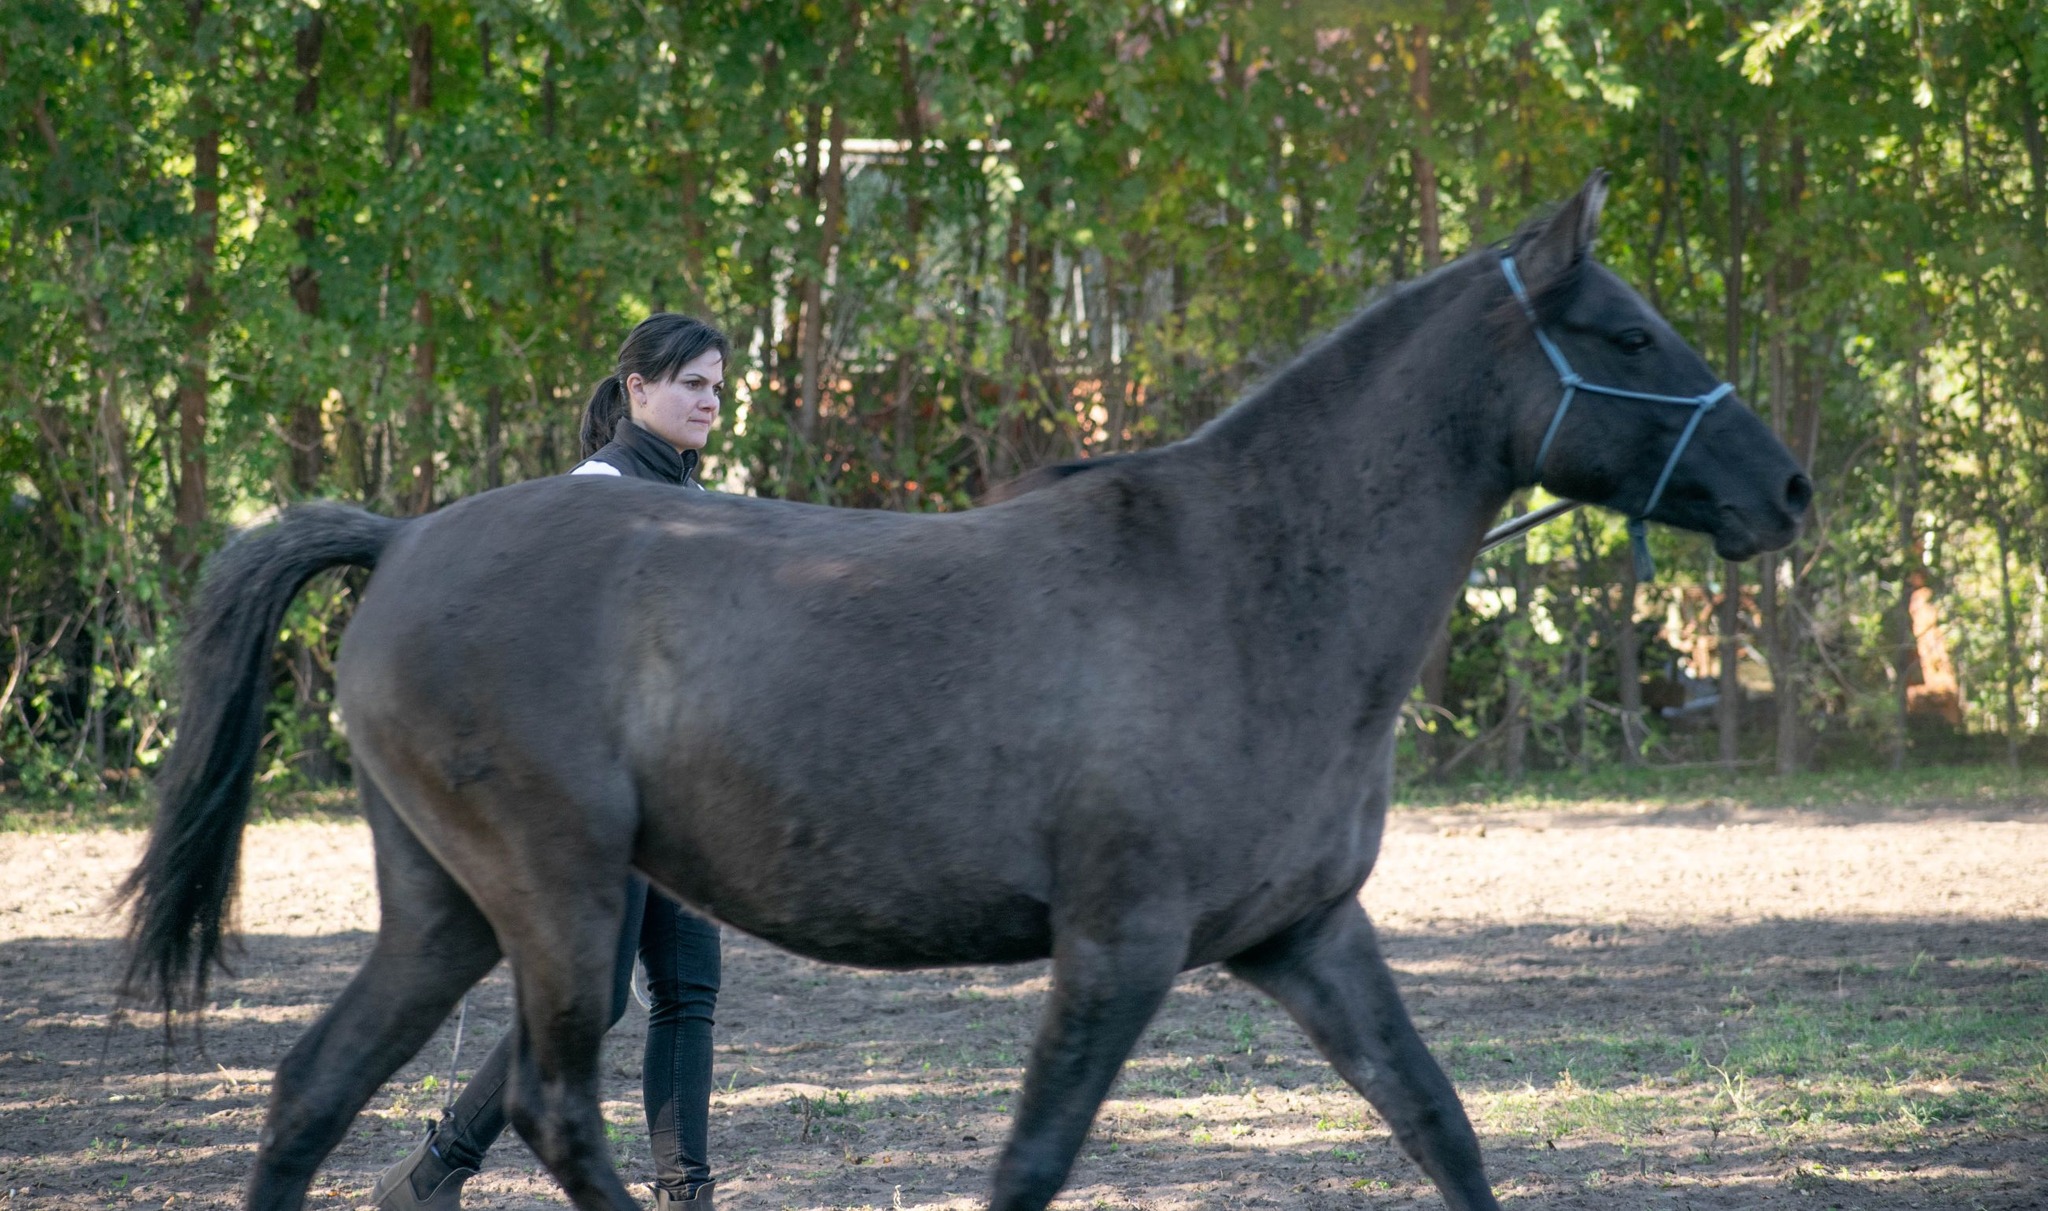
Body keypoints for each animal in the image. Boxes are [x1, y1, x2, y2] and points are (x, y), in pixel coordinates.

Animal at [119, 173, 1810, 1211]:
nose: (1786, 488)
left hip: (450, 906)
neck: (1252, 586)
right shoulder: (1117, 948)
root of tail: (407, 538)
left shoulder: (1306, 935)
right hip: (556, 892)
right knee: (548, 1105)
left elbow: (1438, 1120)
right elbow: (1031, 1161)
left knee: (313, 1085)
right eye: (1629, 331)